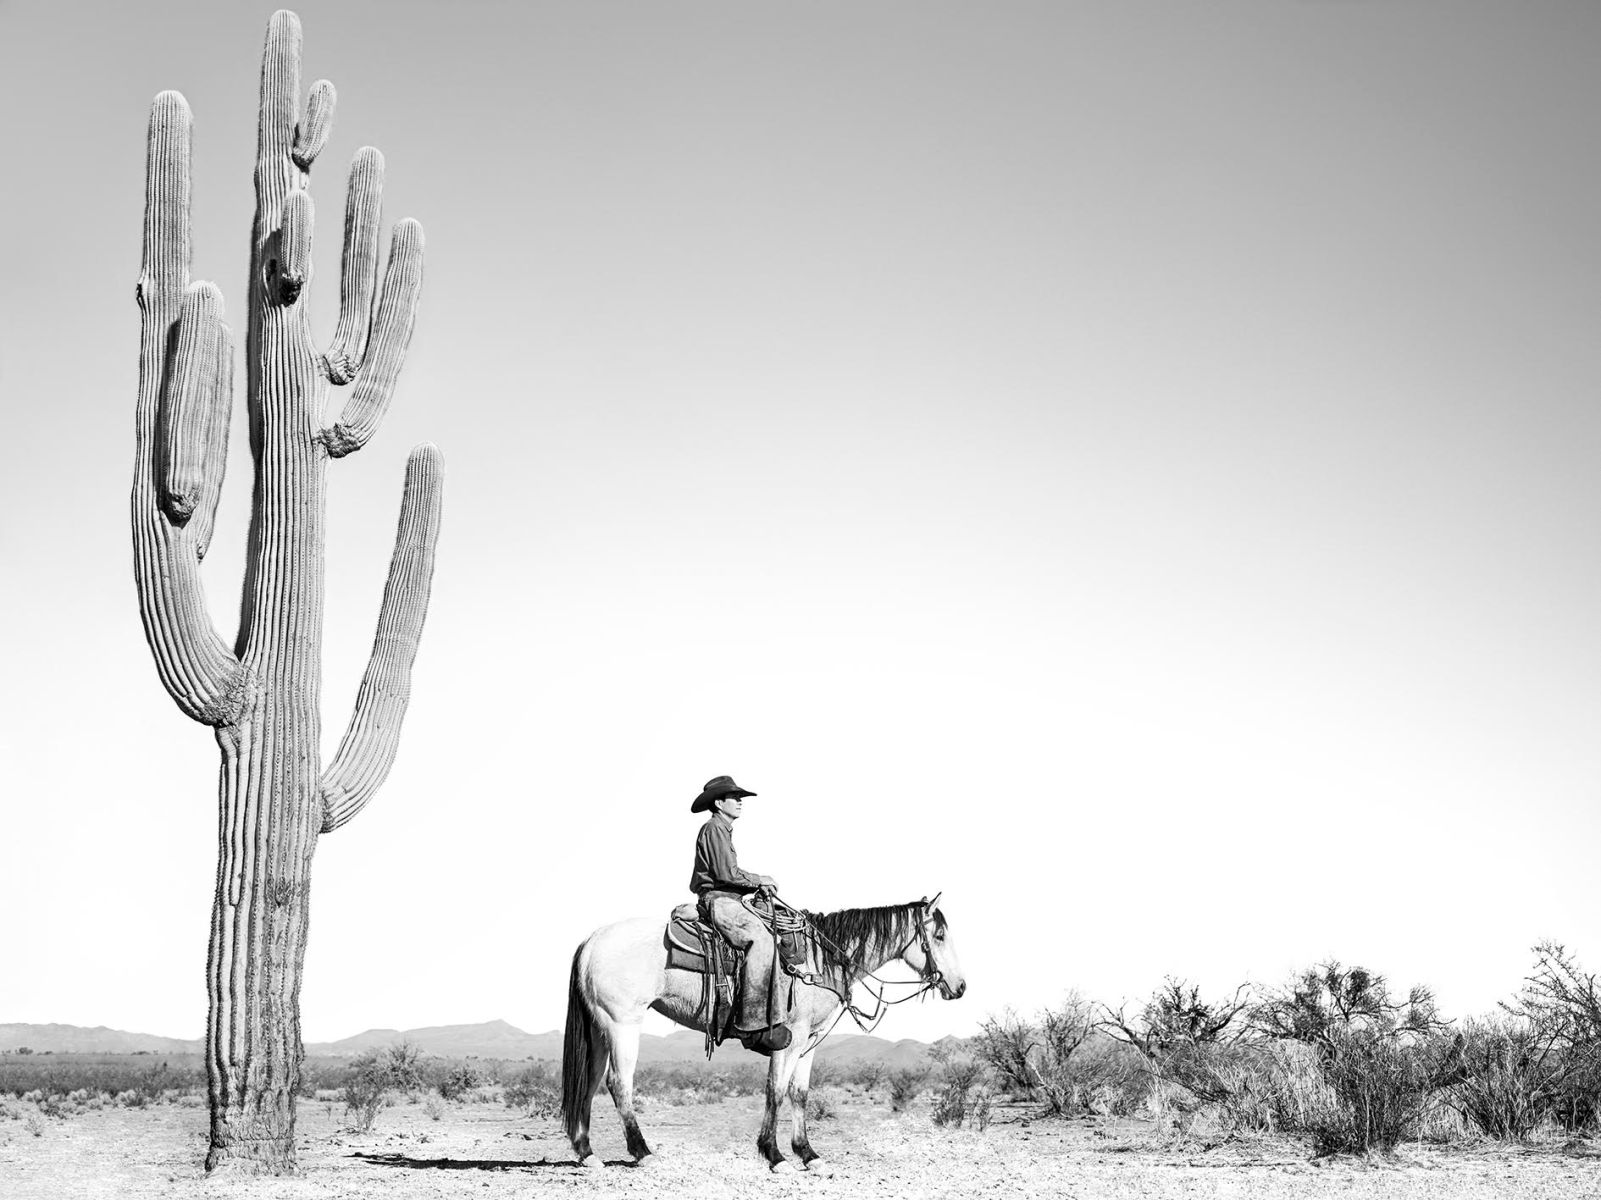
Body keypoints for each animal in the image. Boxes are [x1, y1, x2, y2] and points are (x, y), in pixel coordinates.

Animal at [563, 902, 960, 1177]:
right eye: (939, 936)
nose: (959, 987)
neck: (817, 961)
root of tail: (590, 941)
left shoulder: (810, 1041)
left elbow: (799, 1094)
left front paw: (809, 1155)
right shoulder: (791, 1039)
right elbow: (776, 1091)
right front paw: (775, 1155)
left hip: (599, 1029)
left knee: (589, 1082)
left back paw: (587, 1153)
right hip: (622, 1024)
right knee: (619, 1084)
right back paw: (643, 1152)